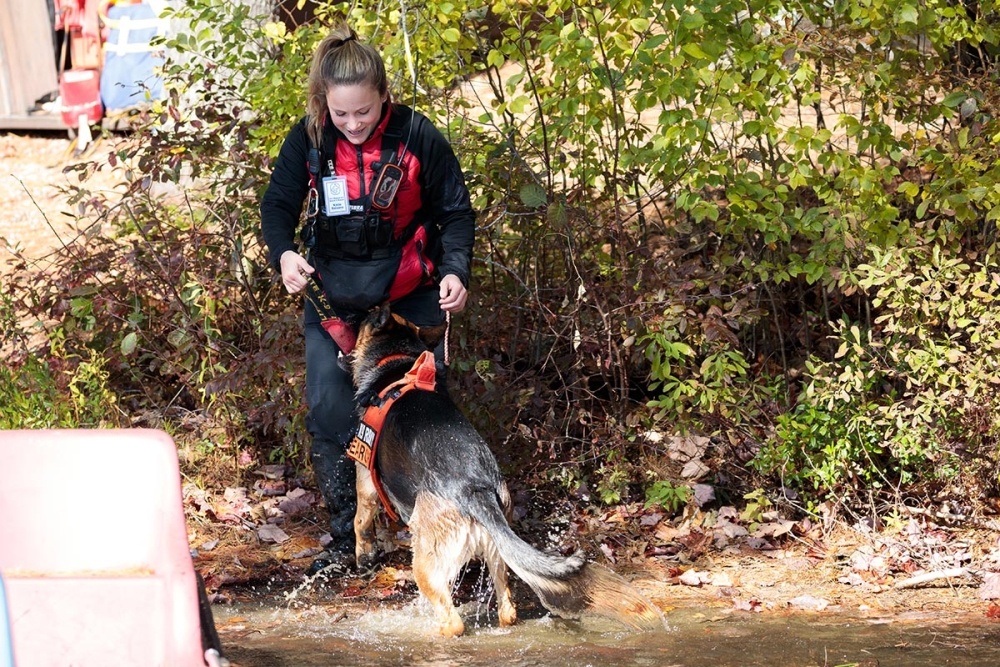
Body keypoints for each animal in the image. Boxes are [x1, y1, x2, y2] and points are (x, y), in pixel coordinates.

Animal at [344, 306, 664, 640]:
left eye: (364, 318)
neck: (396, 360)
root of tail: (476, 489)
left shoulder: (365, 478)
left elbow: (360, 521)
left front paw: (364, 556)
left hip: (428, 562)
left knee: (453, 621)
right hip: (498, 553)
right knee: (507, 611)